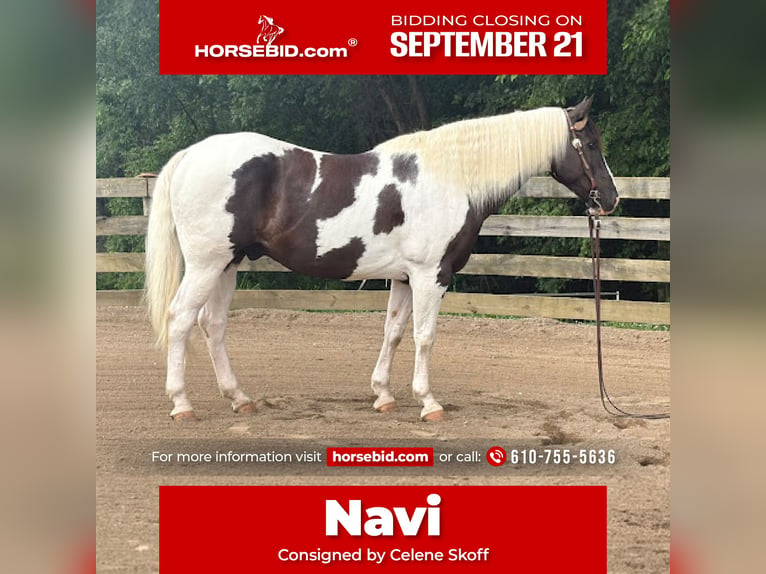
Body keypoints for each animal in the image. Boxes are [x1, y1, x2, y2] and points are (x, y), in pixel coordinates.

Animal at [144, 96, 619, 421]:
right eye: (591, 142)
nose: (611, 199)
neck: (451, 178)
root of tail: (189, 156)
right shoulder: (431, 276)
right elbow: (424, 337)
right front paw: (429, 403)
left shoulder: (405, 278)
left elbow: (393, 333)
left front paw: (384, 395)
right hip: (206, 265)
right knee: (181, 319)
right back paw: (182, 403)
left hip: (227, 265)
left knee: (213, 325)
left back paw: (239, 399)